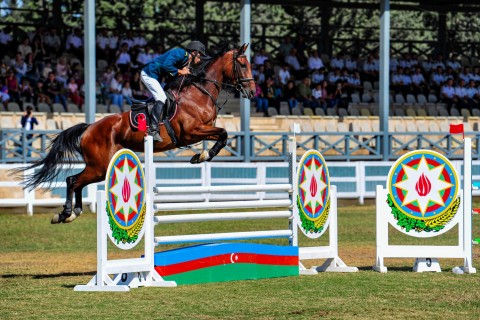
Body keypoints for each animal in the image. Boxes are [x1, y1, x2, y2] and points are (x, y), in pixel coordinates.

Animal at [17, 43, 255, 224]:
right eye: (243, 65)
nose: (252, 92)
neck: (199, 94)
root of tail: (90, 127)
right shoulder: (192, 132)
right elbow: (223, 133)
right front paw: (202, 156)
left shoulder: (204, 131)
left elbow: (223, 136)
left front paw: (202, 155)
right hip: (99, 165)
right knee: (72, 181)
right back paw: (65, 214)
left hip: (101, 167)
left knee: (76, 182)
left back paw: (71, 213)